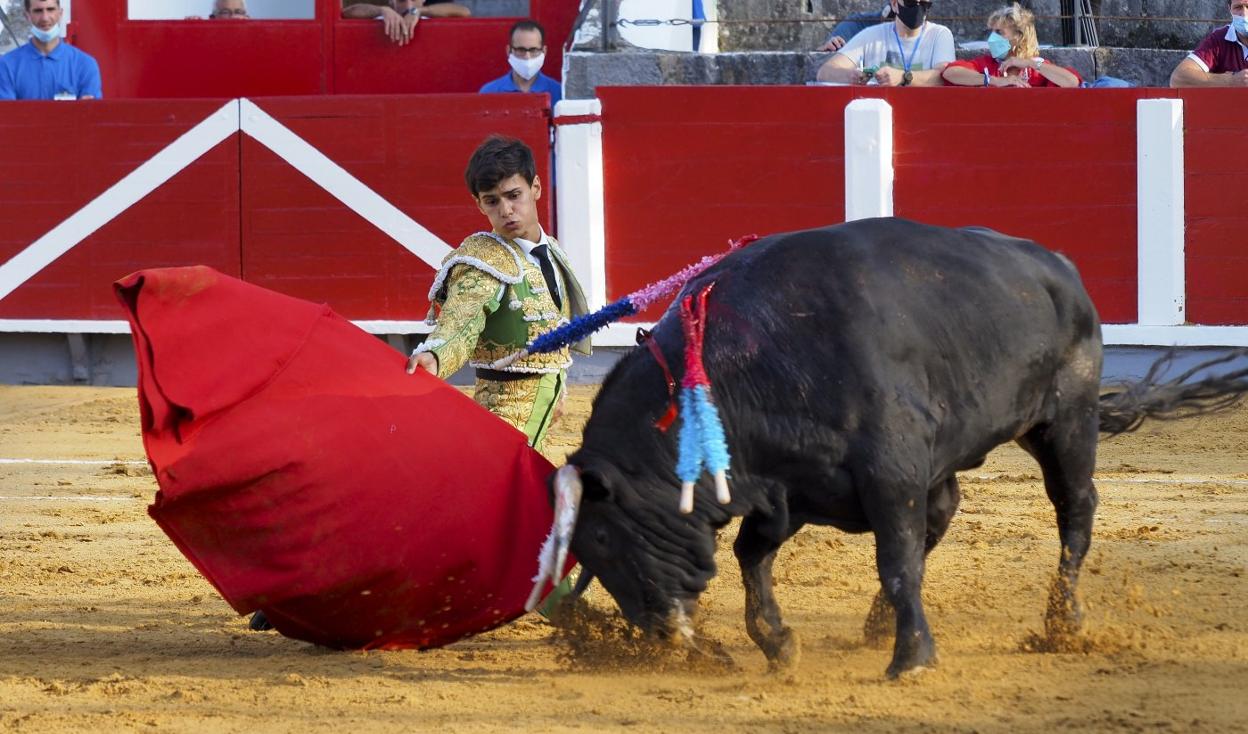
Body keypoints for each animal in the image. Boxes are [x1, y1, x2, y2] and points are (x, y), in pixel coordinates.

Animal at [529, 215, 1248, 679]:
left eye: (600, 537)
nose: (656, 632)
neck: (749, 362)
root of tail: (1057, 265)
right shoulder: (787, 489)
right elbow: (752, 557)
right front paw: (779, 643)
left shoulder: (889, 475)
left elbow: (896, 562)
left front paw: (912, 660)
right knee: (947, 511)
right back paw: (880, 623)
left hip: (1064, 418)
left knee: (1075, 508)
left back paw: (1062, 623)